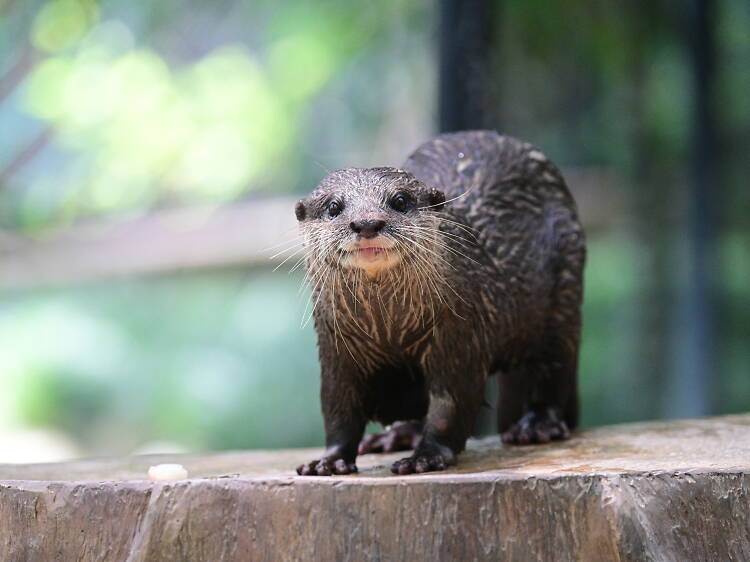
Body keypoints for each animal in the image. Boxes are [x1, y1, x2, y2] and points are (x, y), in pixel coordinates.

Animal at [294, 130, 588, 472]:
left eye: (400, 201)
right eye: (333, 206)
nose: (367, 223)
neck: (389, 330)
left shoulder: (458, 335)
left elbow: (451, 405)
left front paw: (426, 456)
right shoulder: (336, 348)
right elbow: (338, 411)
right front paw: (329, 461)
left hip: (563, 293)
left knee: (553, 368)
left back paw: (537, 426)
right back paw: (396, 436)